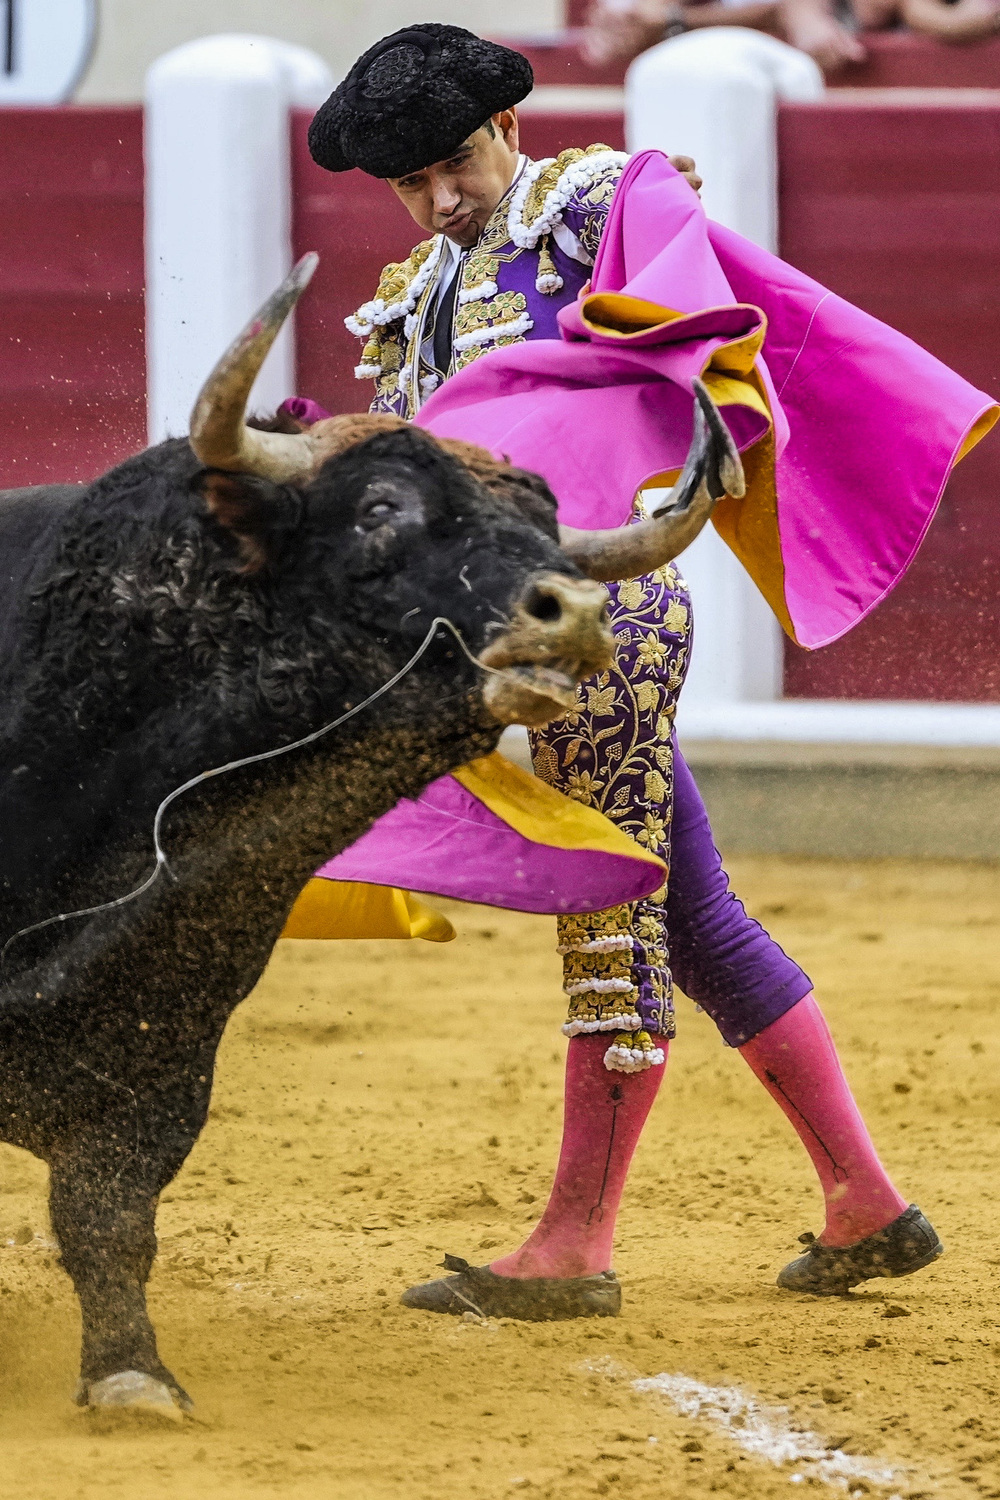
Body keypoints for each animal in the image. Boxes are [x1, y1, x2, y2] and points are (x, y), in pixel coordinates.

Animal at [0, 426, 614, 1416]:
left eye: (548, 524)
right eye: (380, 507)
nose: (578, 612)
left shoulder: (163, 1036)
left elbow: (111, 1214)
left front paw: (132, 1375)